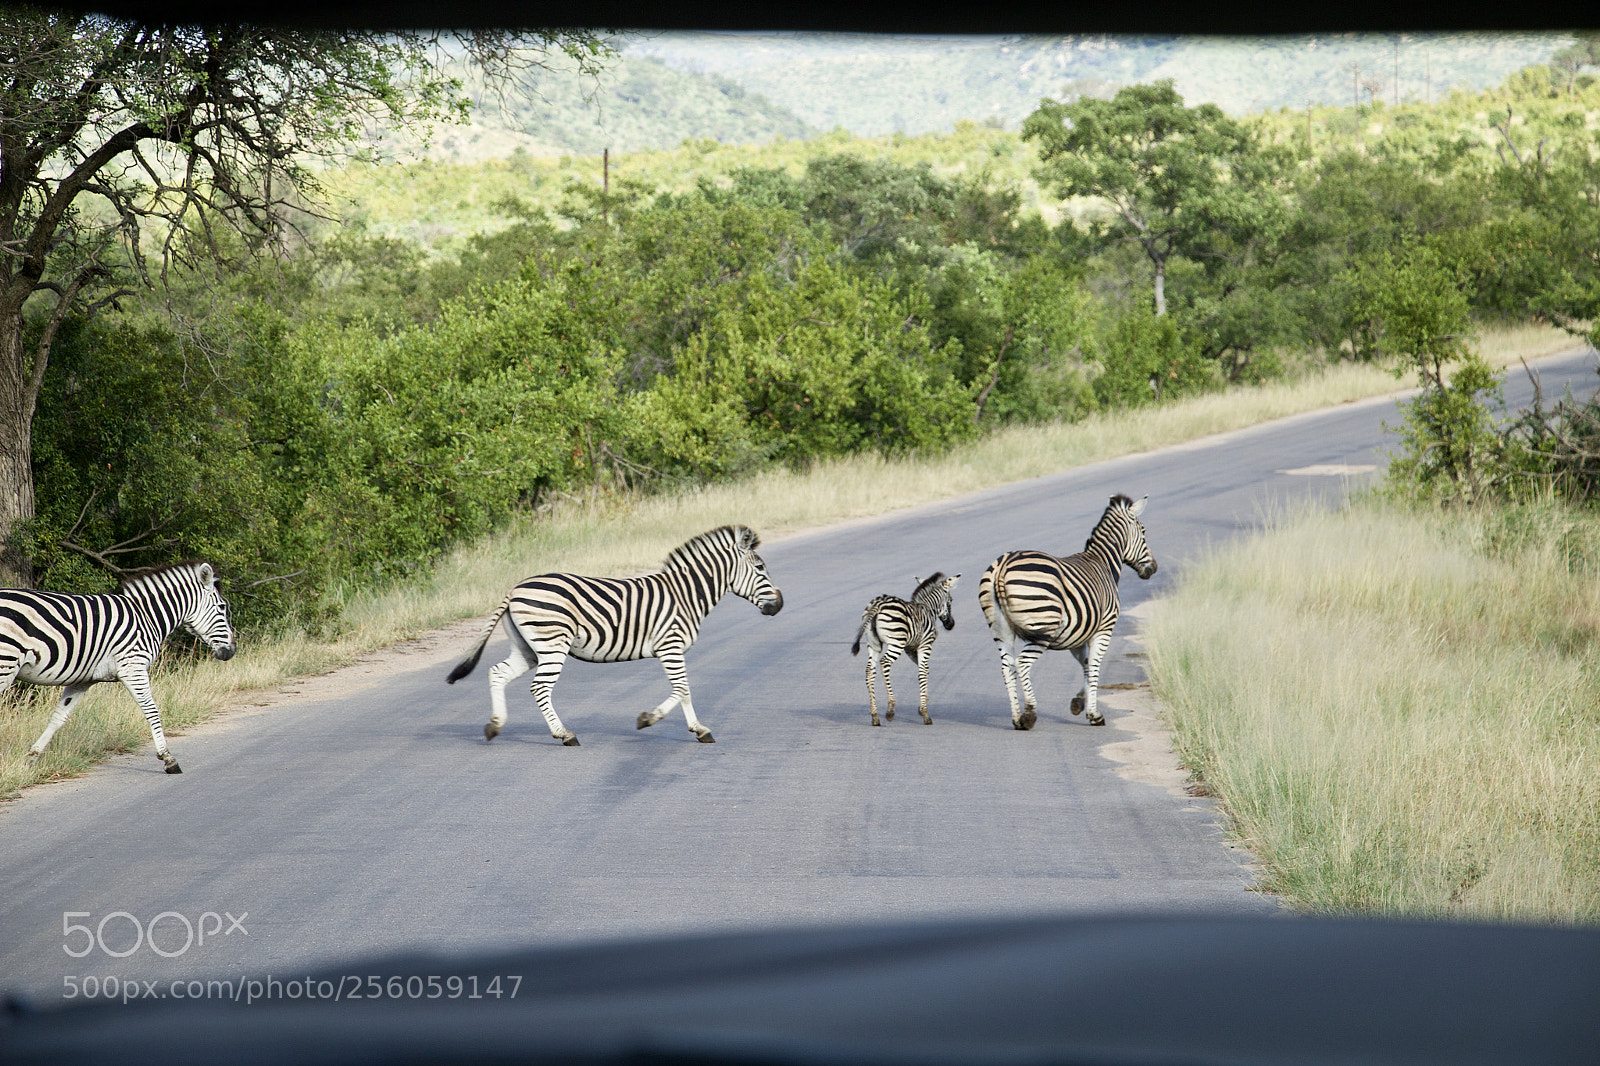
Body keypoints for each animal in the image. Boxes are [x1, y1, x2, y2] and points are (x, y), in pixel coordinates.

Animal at [8, 560, 237, 774]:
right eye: (222, 607)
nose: (232, 651)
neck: (147, 617)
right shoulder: (133, 667)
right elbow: (152, 710)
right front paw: (167, 758)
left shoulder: (83, 679)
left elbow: (59, 717)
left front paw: (32, 757)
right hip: (7, 662)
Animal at [446, 525, 783, 746]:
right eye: (761, 568)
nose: (779, 605)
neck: (686, 594)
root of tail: (515, 588)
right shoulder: (671, 646)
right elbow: (683, 688)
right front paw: (662, 722)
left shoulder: (670, 649)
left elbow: (683, 690)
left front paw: (688, 727)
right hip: (552, 643)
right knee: (539, 688)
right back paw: (564, 734)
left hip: (528, 647)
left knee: (497, 672)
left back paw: (495, 726)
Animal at [850, 572, 960, 727]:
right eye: (950, 600)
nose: (951, 624)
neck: (928, 609)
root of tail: (878, 604)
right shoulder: (925, 644)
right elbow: (923, 671)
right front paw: (925, 713)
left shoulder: (910, 649)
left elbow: (925, 669)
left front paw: (923, 703)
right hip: (896, 642)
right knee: (885, 663)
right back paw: (890, 710)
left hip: (873, 643)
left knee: (869, 671)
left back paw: (875, 716)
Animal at [978, 494, 1156, 730]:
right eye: (1143, 531)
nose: (1153, 568)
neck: (1103, 563)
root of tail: (1003, 566)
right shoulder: (1104, 628)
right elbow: (1095, 666)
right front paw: (1094, 714)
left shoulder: (1077, 635)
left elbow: (1086, 665)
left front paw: (1079, 702)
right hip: (1042, 627)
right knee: (1022, 663)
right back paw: (1029, 715)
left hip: (1001, 629)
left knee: (1007, 667)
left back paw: (1016, 719)